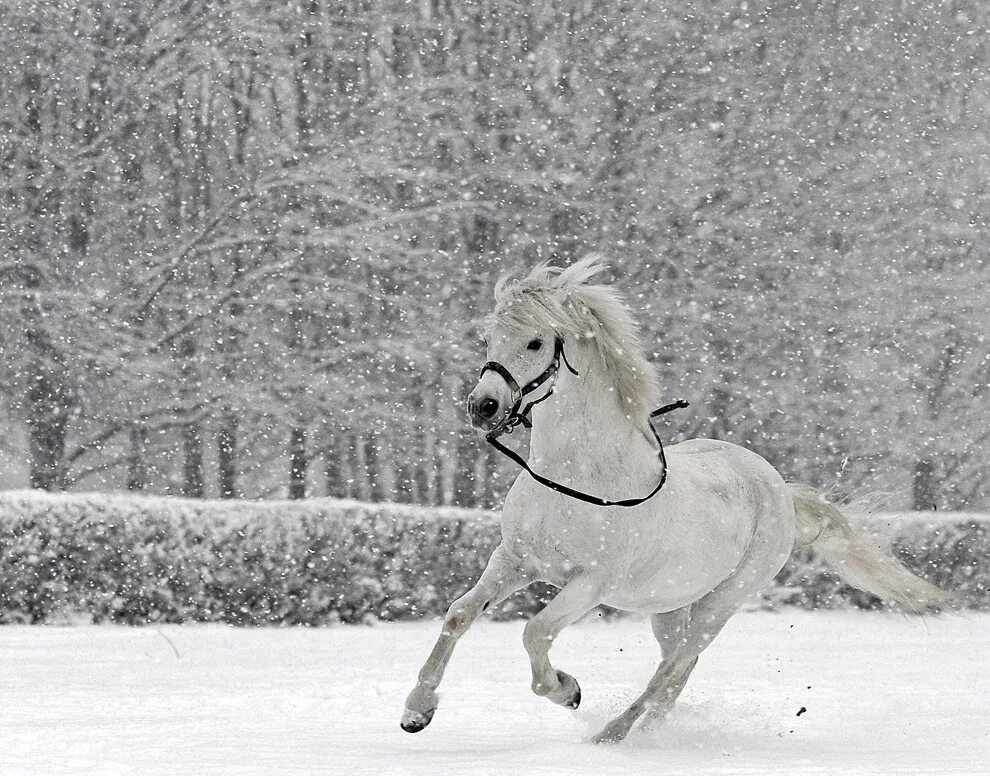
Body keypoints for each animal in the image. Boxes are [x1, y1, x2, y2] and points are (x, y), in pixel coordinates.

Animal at [400, 258, 956, 744]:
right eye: (489, 338)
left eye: (536, 341)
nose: (483, 407)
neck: (578, 479)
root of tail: (775, 485)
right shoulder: (515, 561)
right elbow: (458, 614)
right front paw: (416, 712)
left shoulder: (590, 583)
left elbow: (535, 633)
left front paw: (568, 690)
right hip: (668, 605)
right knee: (678, 666)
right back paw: (648, 728)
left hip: (722, 601)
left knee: (673, 666)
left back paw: (612, 733)